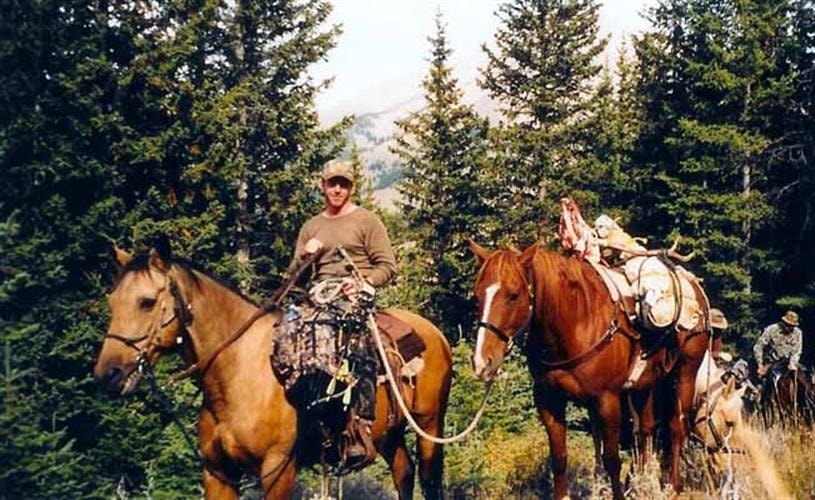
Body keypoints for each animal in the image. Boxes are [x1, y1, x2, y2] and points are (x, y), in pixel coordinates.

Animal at [93, 244, 452, 499]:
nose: (107, 374)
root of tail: (435, 333)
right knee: (403, 474)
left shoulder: (277, 470)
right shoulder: (218, 474)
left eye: (146, 302)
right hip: (389, 435)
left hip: (429, 426)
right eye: (111, 302)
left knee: (429, 480)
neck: (238, 376)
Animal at [469, 241, 711, 499]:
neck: (576, 322)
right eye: (477, 296)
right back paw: (642, 482)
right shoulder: (548, 400)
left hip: (686, 372)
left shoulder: (608, 400)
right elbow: (559, 457)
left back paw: (673, 485)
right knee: (645, 429)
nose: (482, 361)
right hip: (645, 385)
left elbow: (612, 459)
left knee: (676, 426)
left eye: (514, 295)